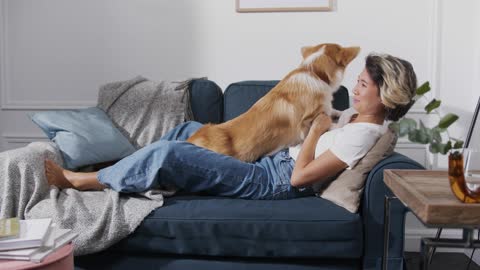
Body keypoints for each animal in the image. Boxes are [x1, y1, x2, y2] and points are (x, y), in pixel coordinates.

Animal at [188, 42, 360, 162]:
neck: (314, 73)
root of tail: (190, 140)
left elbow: (336, 111)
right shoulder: (308, 127)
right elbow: (337, 121)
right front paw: (350, 114)